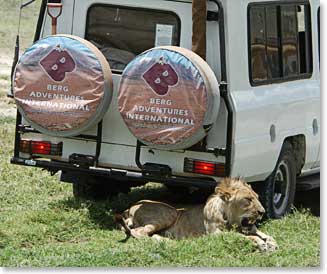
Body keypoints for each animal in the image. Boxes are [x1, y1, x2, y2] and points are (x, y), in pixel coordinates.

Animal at [115, 178, 280, 253]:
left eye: (257, 197)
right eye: (248, 199)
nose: (262, 212)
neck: (230, 219)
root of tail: (129, 207)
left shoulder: (251, 228)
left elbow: (267, 235)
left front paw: (272, 243)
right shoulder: (215, 233)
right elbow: (244, 236)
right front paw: (260, 243)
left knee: (146, 233)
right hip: (170, 212)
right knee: (139, 232)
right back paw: (171, 243)